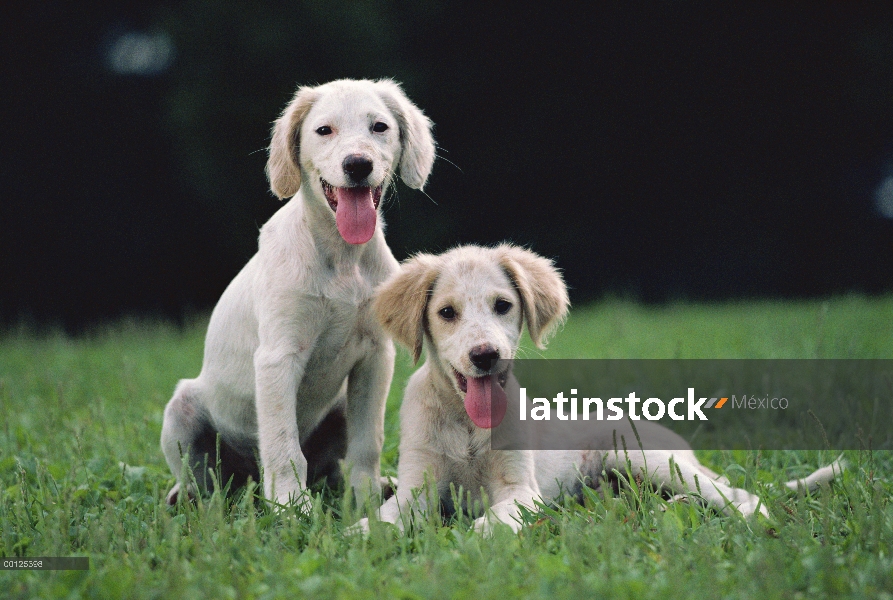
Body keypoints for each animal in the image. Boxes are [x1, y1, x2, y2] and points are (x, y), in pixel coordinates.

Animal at [165, 78, 440, 510]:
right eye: (324, 130)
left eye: (379, 127)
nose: (357, 165)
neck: (342, 257)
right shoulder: (279, 356)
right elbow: (283, 444)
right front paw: (290, 505)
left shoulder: (375, 357)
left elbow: (368, 441)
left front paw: (366, 499)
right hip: (182, 408)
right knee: (205, 480)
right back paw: (191, 499)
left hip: (339, 406)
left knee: (329, 469)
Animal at [352, 245, 840, 536]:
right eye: (447, 312)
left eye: (503, 305)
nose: (485, 355)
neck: (464, 422)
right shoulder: (417, 487)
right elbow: (389, 515)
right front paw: (361, 533)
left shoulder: (520, 488)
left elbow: (499, 516)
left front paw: (481, 534)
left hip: (645, 458)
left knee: (739, 494)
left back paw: (753, 519)